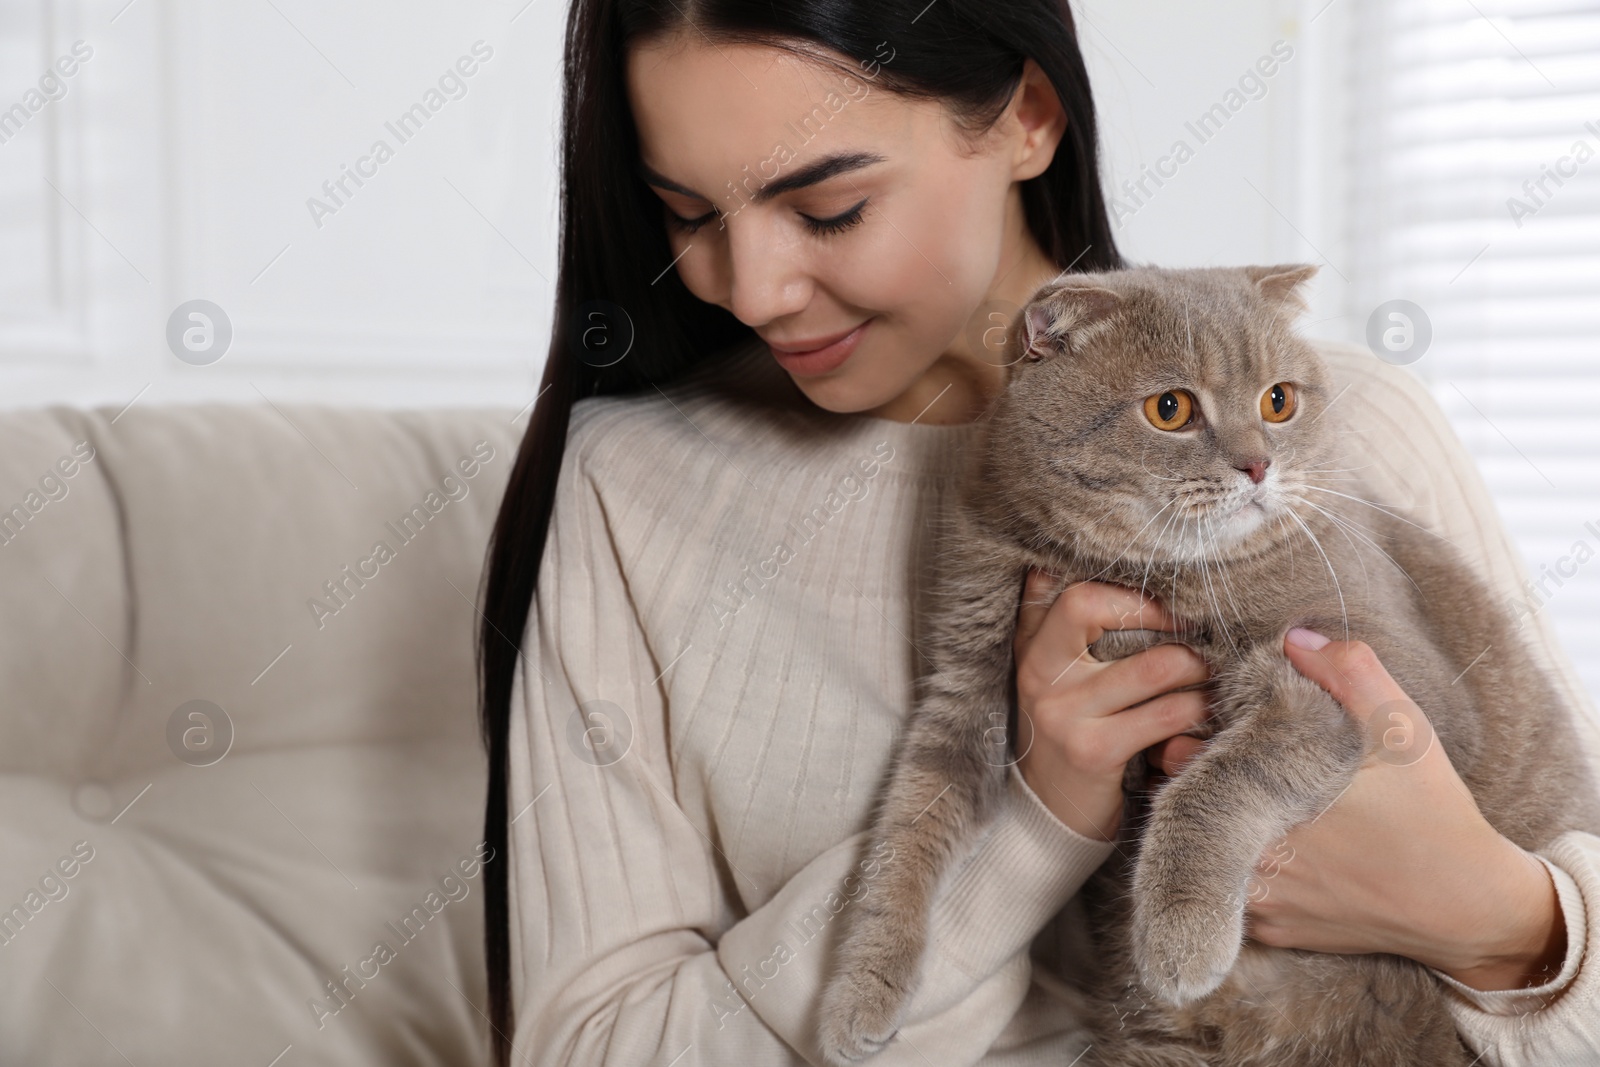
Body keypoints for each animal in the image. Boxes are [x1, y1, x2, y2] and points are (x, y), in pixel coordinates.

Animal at [819, 265, 1593, 1067]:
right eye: (1171, 409)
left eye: (1278, 400)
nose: (1258, 463)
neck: (1133, 572)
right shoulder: (964, 682)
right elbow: (906, 830)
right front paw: (860, 993)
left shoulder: (1376, 678)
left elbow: (1214, 784)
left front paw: (1180, 934)